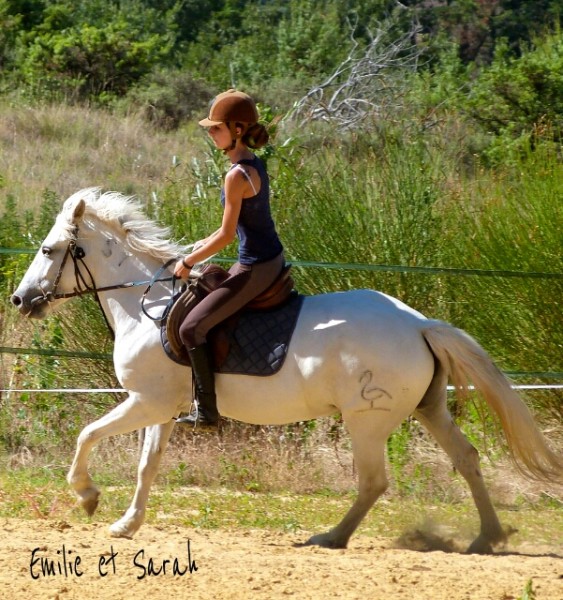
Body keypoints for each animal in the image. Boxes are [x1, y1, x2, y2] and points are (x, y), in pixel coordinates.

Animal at [11, 190, 560, 552]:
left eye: (47, 250)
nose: (20, 300)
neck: (148, 305)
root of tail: (420, 323)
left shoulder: (146, 401)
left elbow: (86, 434)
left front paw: (87, 496)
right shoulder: (161, 408)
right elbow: (148, 466)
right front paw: (126, 525)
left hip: (367, 421)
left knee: (374, 482)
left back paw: (331, 537)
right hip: (429, 408)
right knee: (466, 458)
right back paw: (487, 537)